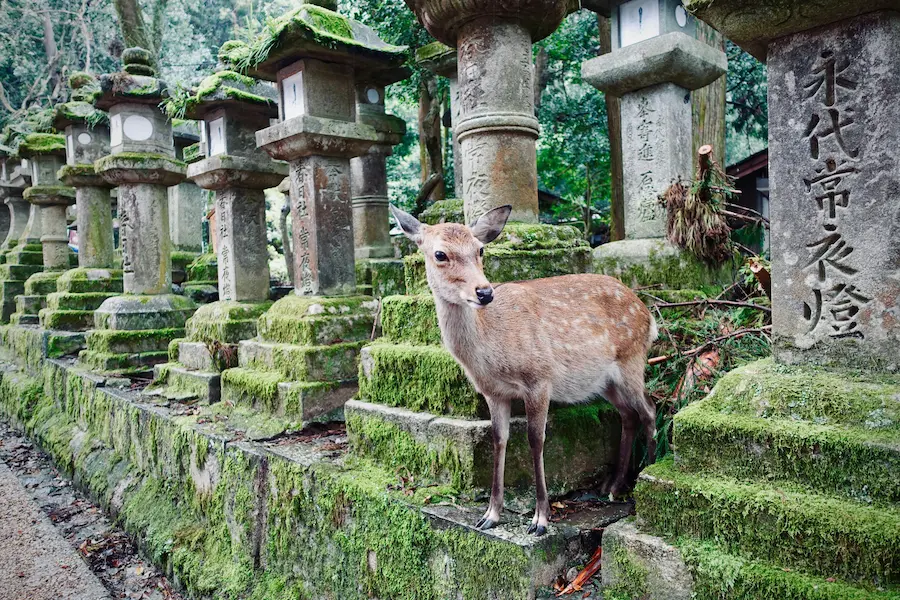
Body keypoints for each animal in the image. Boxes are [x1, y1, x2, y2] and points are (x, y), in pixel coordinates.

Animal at [389, 203, 659, 536]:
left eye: (480, 249)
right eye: (440, 254)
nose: (484, 292)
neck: (490, 354)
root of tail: (649, 316)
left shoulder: (539, 378)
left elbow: (535, 439)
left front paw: (540, 519)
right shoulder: (493, 392)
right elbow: (499, 439)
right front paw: (490, 515)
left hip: (632, 360)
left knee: (649, 408)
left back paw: (643, 477)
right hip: (605, 380)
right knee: (629, 415)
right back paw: (612, 486)